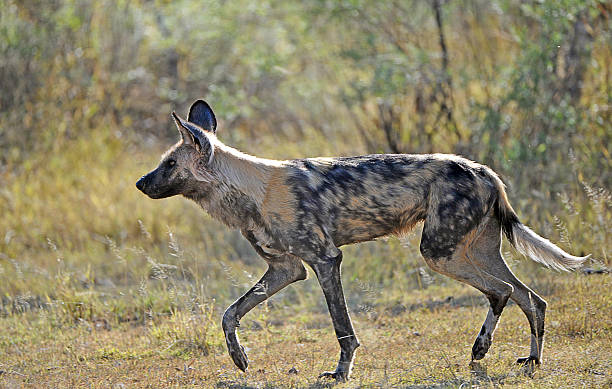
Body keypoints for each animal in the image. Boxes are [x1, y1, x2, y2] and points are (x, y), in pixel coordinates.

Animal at [137, 99, 588, 378]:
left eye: (169, 163)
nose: (140, 182)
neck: (250, 191)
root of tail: (484, 170)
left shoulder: (324, 260)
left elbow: (342, 328)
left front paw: (341, 372)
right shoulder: (286, 270)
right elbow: (230, 313)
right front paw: (239, 358)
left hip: (439, 253)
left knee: (502, 292)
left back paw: (481, 349)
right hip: (473, 251)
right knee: (530, 297)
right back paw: (529, 361)